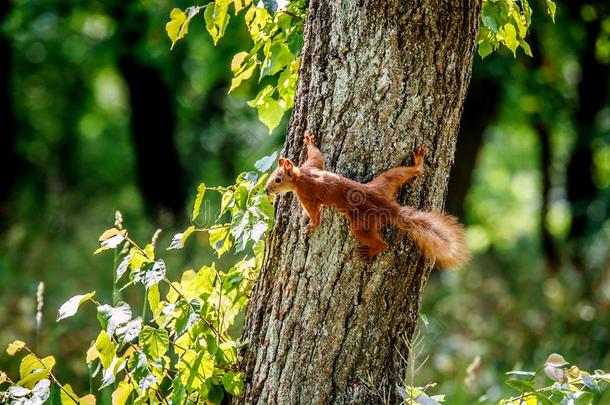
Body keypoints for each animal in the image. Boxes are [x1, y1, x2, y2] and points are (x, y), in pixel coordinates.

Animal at [264, 133, 468, 268]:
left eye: (277, 179)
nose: (266, 190)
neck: (300, 177)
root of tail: (386, 205)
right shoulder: (312, 165)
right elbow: (317, 155)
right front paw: (309, 140)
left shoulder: (306, 194)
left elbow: (314, 213)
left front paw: (311, 226)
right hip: (385, 182)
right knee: (407, 173)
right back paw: (418, 164)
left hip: (361, 224)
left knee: (382, 243)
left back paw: (372, 250)